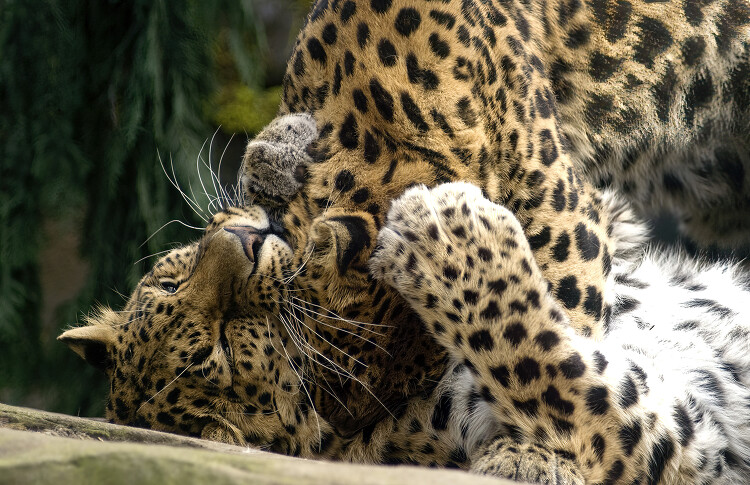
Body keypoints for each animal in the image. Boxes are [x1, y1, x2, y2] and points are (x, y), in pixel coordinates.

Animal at [58, 0, 750, 482]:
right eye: (224, 342)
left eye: (173, 279)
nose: (245, 241)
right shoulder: (685, 440)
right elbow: (547, 369)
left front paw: (276, 153)